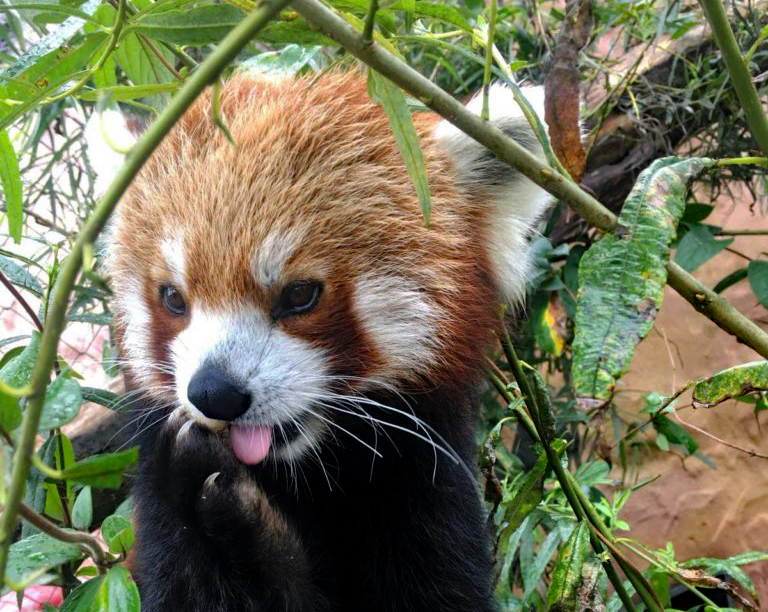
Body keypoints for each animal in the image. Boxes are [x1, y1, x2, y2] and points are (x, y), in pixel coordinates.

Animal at [99, 73, 548, 612]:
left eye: (299, 295)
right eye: (172, 297)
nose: (214, 393)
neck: (303, 476)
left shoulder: (426, 493)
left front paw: (250, 531)